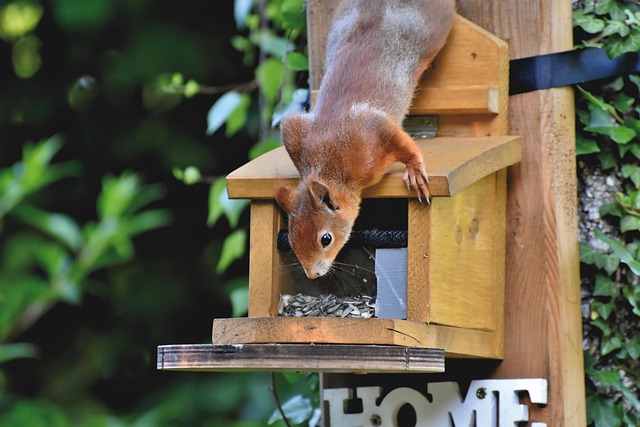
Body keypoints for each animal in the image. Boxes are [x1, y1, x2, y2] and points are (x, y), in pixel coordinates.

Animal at [276, 0, 456, 280]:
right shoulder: (296, 131)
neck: (330, 163)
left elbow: (400, 140)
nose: (312, 275)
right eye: (292, 240)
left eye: (325, 239)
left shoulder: (369, 131)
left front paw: (415, 170)